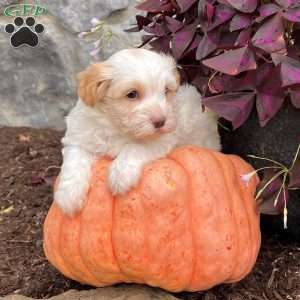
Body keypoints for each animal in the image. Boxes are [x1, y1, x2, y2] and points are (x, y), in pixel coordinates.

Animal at [55, 48, 220, 216]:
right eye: (132, 94)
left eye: (166, 91)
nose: (160, 121)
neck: (117, 127)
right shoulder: (79, 137)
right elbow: (74, 161)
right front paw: (68, 196)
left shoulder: (161, 139)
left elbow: (135, 147)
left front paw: (121, 174)